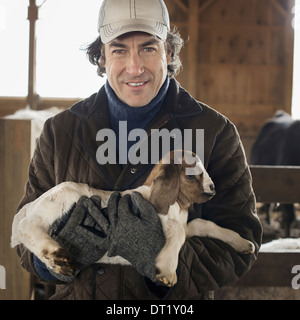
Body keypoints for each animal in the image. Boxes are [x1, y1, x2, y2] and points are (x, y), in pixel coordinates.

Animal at [12, 150, 255, 288]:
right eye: (191, 175)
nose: (213, 189)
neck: (173, 206)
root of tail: (31, 205)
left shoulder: (188, 226)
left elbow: (204, 224)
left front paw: (244, 244)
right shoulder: (160, 223)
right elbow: (178, 233)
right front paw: (167, 272)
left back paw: (57, 262)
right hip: (63, 199)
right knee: (26, 228)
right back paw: (55, 254)